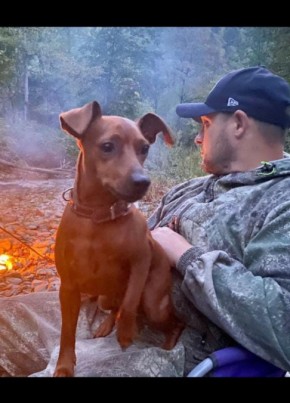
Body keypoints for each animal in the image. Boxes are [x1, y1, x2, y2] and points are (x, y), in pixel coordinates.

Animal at [52, 102, 184, 378]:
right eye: (107, 146)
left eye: (144, 148)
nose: (143, 182)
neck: (98, 219)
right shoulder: (68, 288)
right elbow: (67, 332)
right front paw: (64, 366)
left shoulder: (141, 261)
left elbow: (130, 302)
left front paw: (125, 333)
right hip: (103, 296)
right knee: (113, 307)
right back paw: (105, 325)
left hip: (154, 304)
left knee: (175, 320)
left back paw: (168, 342)